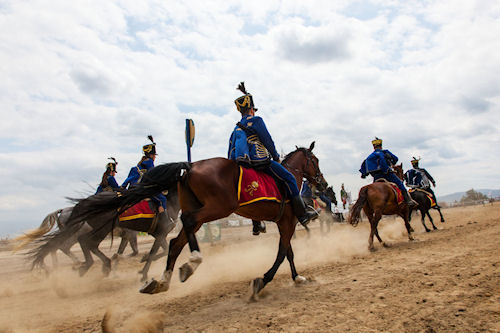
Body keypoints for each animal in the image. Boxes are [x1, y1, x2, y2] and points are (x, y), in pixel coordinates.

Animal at [28, 187, 180, 280]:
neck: (170, 202)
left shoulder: (156, 235)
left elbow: (164, 250)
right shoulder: (139, 234)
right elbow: (142, 252)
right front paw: (141, 266)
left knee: (65, 246)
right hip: (98, 229)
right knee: (80, 243)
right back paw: (88, 264)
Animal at [61, 141, 328, 296]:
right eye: (315, 161)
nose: (322, 183)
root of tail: (189, 167)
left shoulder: (285, 223)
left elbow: (288, 252)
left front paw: (297, 277)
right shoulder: (288, 222)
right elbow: (283, 253)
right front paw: (263, 280)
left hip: (204, 211)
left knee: (174, 242)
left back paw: (161, 281)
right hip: (216, 209)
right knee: (185, 226)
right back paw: (192, 261)